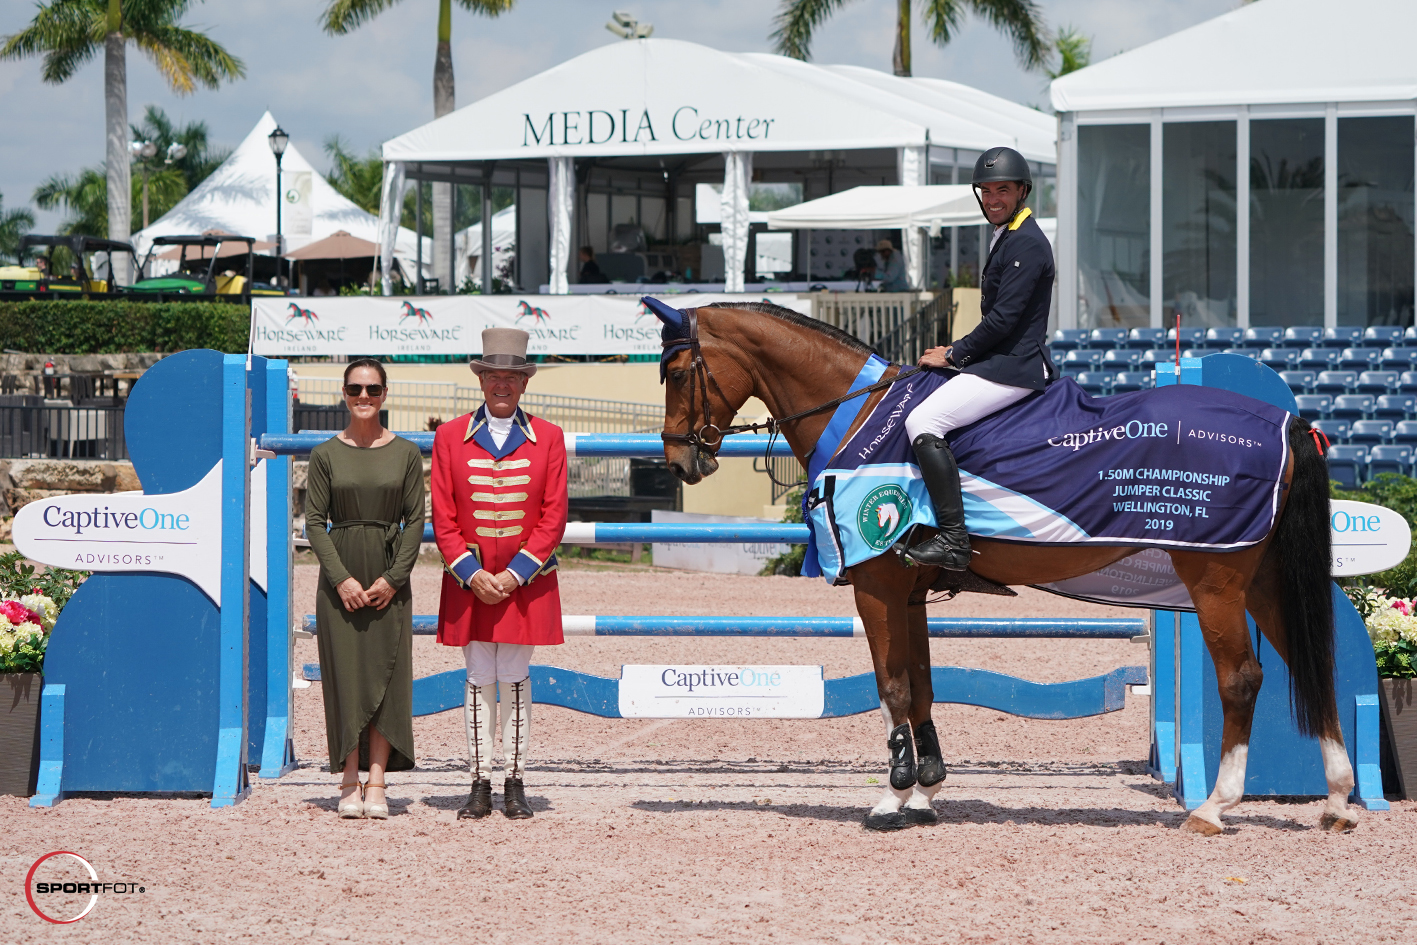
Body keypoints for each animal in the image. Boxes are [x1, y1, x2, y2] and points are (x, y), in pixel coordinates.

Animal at [648, 301, 1354, 833]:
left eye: (677, 371)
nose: (681, 461)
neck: (857, 413)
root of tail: (1288, 422)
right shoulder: (910, 591)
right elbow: (923, 686)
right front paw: (926, 790)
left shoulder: (878, 585)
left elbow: (892, 686)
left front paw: (892, 795)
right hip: (1261, 583)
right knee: (1308, 663)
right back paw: (1340, 801)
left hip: (1215, 582)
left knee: (1242, 678)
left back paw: (1213, 807)